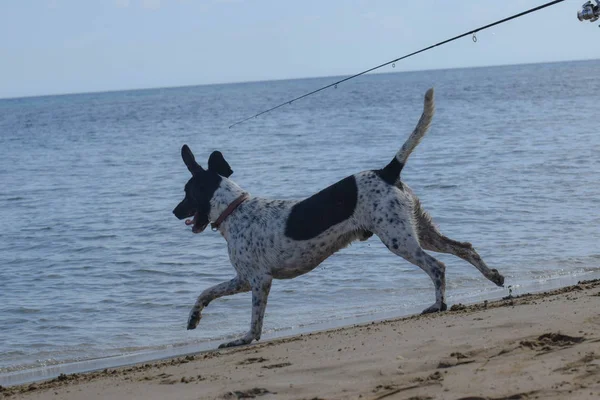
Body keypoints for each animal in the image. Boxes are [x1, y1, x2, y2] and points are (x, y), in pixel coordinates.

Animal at [171, 89, 504, 348]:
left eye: (187, 193)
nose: (174, 211)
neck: (235, 208)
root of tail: (387, 171)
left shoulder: (258, 280)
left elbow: (254, 322)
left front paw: (243, 339)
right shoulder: (243, 278)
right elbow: (206, 292)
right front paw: (194, 317)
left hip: (399, 239)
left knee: (437, 267)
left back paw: (438, 304)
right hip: (421, 230)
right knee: (464, 247)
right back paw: (493, 276)